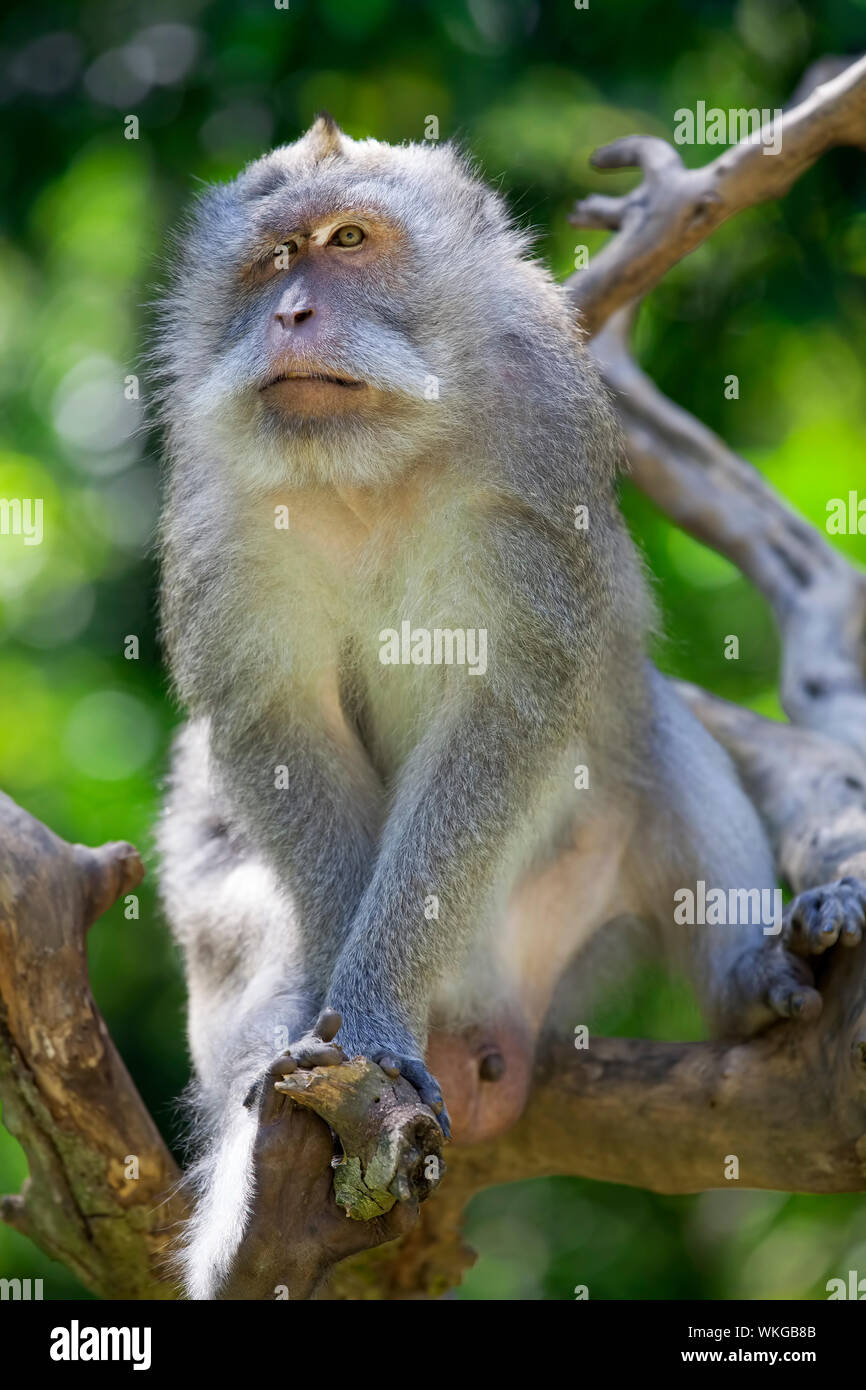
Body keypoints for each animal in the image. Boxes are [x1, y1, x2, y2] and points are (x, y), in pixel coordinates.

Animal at [155, 114, 866, 1299]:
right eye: (273, 258)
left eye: (348, 240)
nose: (292, 313)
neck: (371, 467)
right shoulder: (220, 507)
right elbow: (277, 729)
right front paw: (340, 1017)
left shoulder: (541, 449)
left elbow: (505, 712)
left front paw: (369, 1019)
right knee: (238, 906)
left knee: (657, 740)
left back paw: (750, 979)